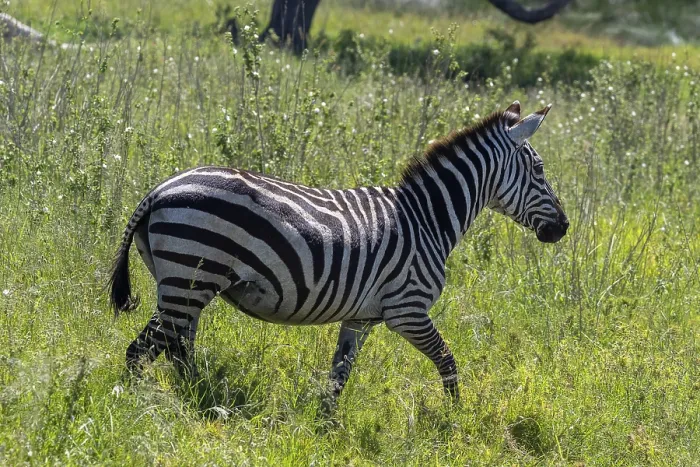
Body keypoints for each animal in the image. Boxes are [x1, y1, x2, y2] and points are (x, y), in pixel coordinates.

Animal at [108, 100, 568, 411]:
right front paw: (457, 419)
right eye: (540, 170)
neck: (427, 218)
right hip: (189, 282)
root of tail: (159, 190)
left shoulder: (361, 318)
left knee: (176, 349)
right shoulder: (407, 310)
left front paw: (326, 427)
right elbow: (448, 360)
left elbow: (339, 375)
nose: (563, 228)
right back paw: (135, 409)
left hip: (184, 285)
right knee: (140, 351)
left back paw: (194, 398)